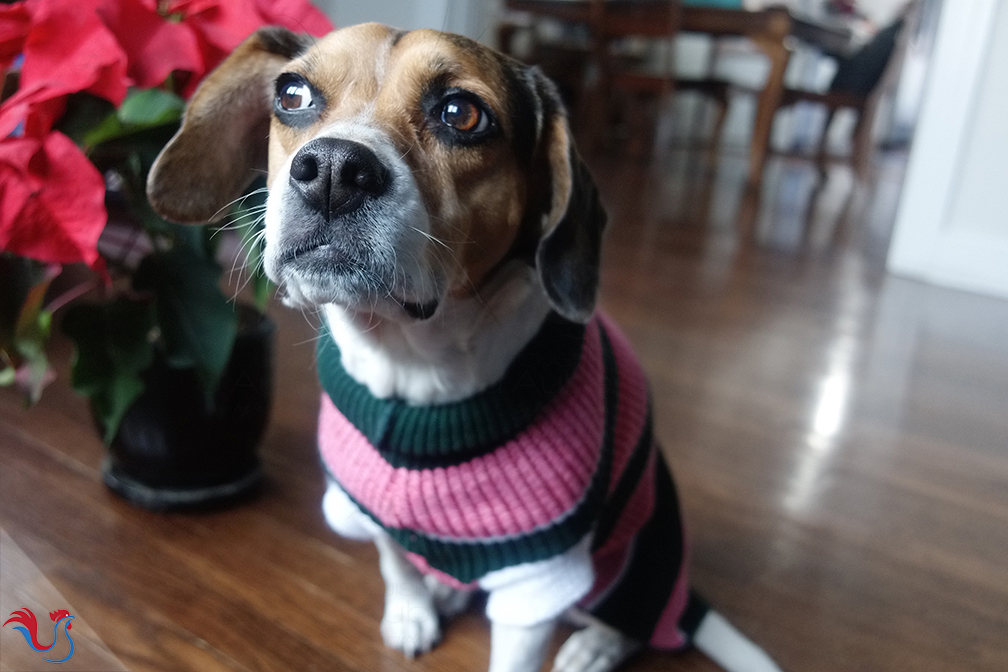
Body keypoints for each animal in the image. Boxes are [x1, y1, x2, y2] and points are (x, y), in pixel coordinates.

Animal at [146, 23, 782, 672]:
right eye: (292, 94)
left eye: (462, 113)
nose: (332, 169)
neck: (407, 366)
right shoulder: (368, 508)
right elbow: (395, 563)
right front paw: (412, 612)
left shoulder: (538, 576)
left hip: (635, 558)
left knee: (636, 620)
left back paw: (597, 645)